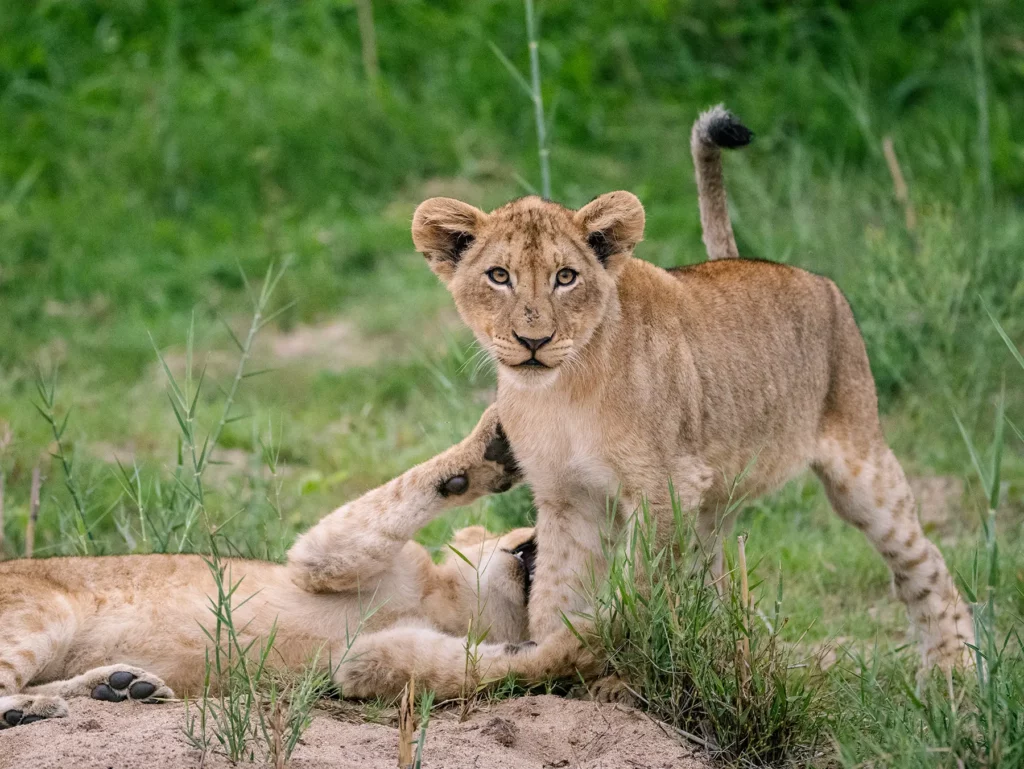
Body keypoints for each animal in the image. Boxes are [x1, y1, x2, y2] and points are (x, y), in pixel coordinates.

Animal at [0, 407, 545, 728]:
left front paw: (549, 652)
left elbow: (458, 667)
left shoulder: (362, 659)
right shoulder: (321, 556)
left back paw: (119, 688)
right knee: (7, 681)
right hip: (39, 613)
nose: (540, 535)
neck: (442, 602)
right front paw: (496, 443)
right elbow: (403, 492)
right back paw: (35, 708)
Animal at [401, 105, 975, 675]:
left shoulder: (665, 487)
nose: (534, 340)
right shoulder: (566, 496)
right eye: (499, 276)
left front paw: (617, 655)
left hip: (861, 463)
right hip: (715, 498)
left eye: (565, 277)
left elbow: (641, 584)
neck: (560, 394)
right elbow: (554, 595)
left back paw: (952, 679)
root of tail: (799, 273)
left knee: (926, 566)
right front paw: (551, 655)